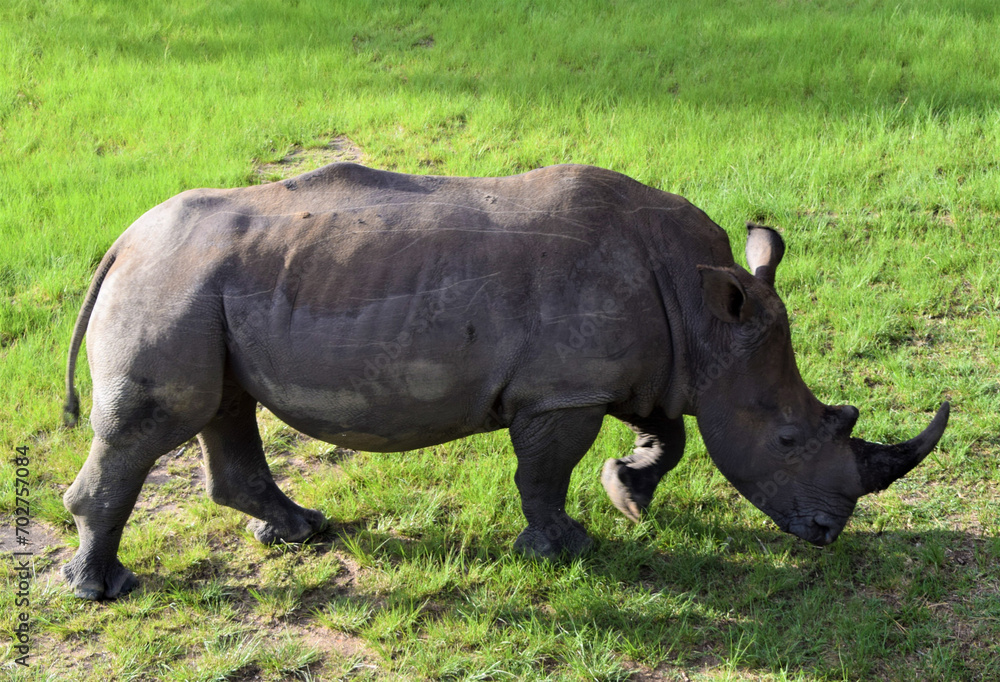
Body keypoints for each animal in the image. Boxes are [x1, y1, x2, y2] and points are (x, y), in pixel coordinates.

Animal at [61, 163, 949, 599]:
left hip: (205, 288)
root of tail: (121, 244)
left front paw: (629, 495)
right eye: (790, 437)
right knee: (155, 425)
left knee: (224, 406)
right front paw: (569, 549)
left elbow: (670, 434)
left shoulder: (647, 368)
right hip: (172, 286)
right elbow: (545, 473)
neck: (704, 312)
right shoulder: (563, 391)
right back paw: (103, 591)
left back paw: (302, 532)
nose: (829, 534)